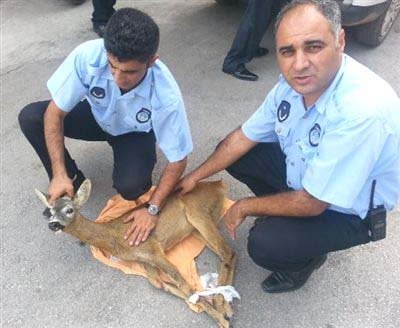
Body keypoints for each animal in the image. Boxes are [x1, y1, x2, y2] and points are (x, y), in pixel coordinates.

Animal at [35, 179, 238, 328]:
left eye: (69, 209)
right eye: (50, 212)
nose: (53, 224)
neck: (117, 237)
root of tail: (219, 184)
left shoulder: (153, 248)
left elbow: (184, 284)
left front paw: (220, 319)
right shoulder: (144, 259)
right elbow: (159, 284)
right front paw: (219, 312)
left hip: (198, 213)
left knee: (227, 251)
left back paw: (223, 308)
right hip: (194, 228)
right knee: (229, 253)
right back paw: (226, 305)